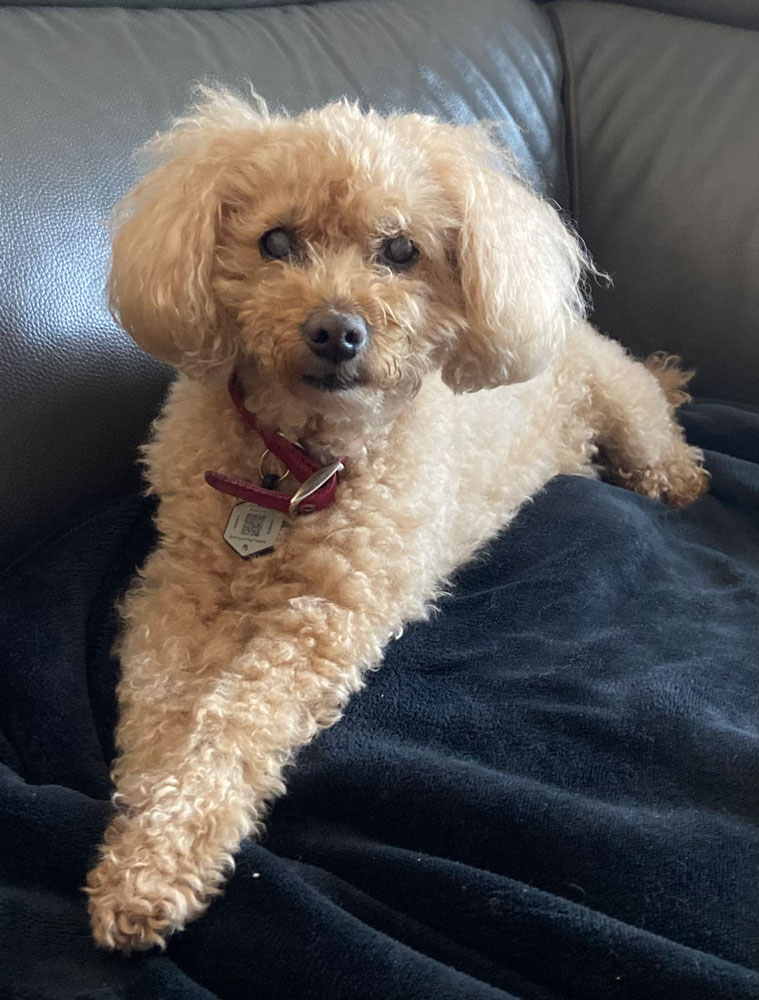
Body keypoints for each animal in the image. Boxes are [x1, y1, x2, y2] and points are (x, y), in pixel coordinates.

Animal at [83, 88, 708, 952]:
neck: (296, 459)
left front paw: (163, 853)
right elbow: (160, 711)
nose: (336, 331)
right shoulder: (177, 590)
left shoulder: (324, 620)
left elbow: (236, 721)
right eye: (276, 242)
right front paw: (142, 829)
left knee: (656, 433)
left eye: (401, 251)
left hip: (622, 399)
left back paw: (672, 480)